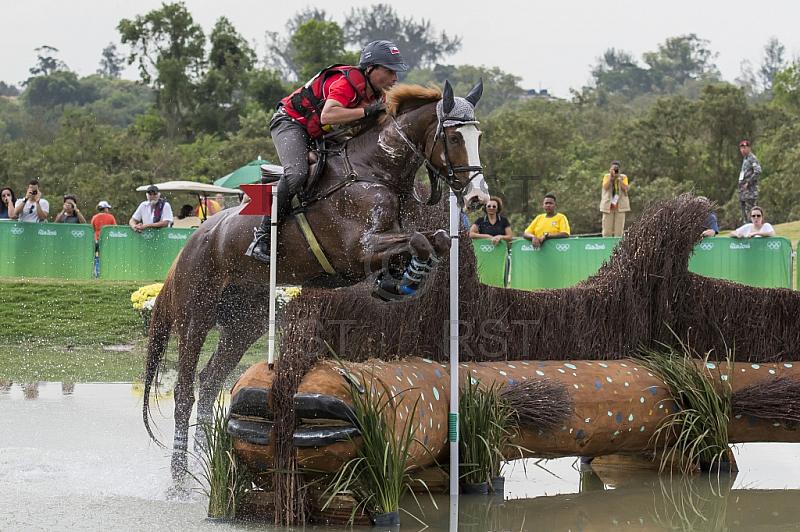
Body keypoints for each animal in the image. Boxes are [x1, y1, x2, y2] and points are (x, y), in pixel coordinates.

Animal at [145, 80, 494, 482]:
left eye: (479, 136)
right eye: (453, 137)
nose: (478, 197)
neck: (374, 171)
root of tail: (196, 237)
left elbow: (433, 240)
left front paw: (400, 281)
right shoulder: (359, 250)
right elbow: (420, 241)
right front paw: (400, 279)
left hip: (244, 321)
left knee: (209, 380)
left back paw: (207, 462)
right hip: (196, 316)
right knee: (184, 391)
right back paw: (179, 480)